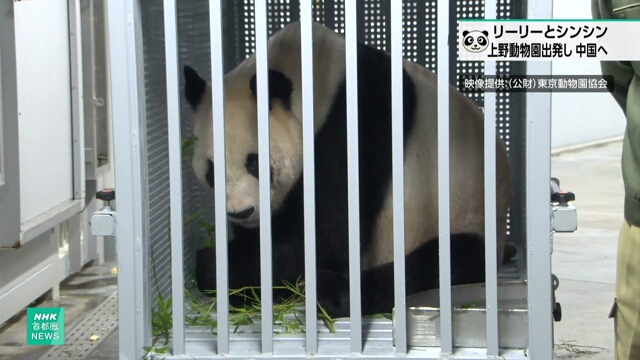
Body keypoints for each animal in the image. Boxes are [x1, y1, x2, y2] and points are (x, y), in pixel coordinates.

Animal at [182, 20, 512, 318]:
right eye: (211, 170)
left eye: (256, 163)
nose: (241, 212)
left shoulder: (355, 128)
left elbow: (326, 239)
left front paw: (215, 265)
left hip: (461, 215)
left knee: (442, 263)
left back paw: (332, 294)